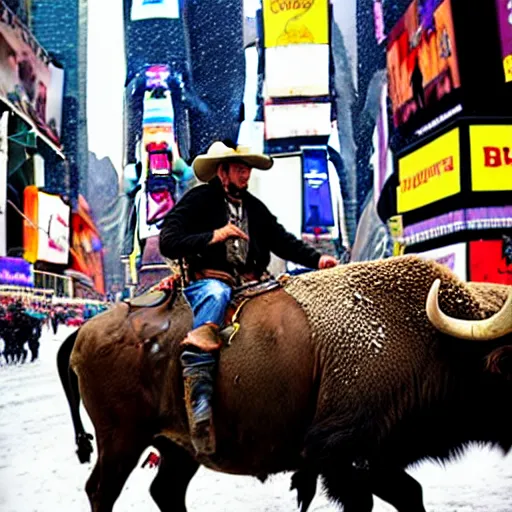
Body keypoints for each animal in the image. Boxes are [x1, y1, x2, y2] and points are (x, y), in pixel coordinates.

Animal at [57, 256, 512, 512]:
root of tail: (85, 331)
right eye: (511, 364)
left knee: (165, 492)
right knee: (101, 491)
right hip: (122, 441)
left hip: (178, 449)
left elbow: (411, 496)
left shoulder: (374, 463)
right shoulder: (347, 460)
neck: (439, 341)